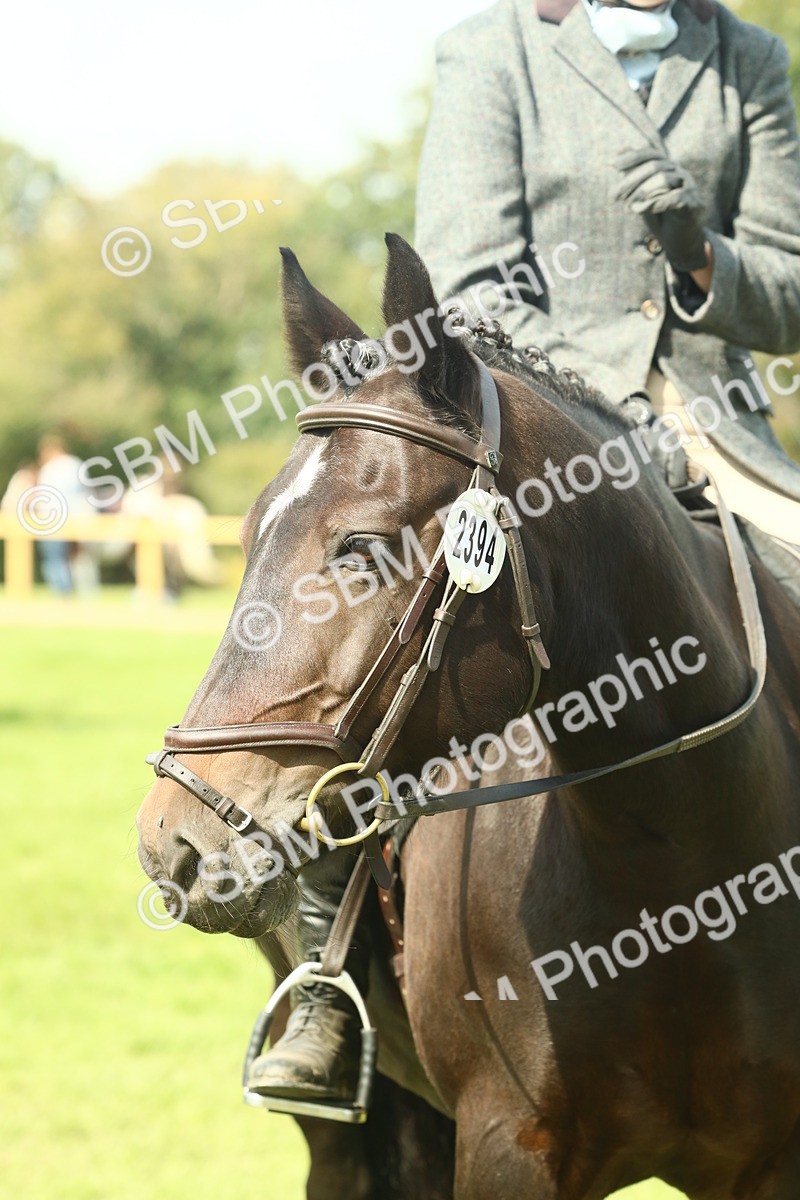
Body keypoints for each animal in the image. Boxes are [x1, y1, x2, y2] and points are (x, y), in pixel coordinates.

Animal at [137, 233, 800, 1199]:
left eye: (362, 547)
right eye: (253, 534)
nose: (173, 841)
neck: (679, 861)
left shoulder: (766, 1164)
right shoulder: (505, 1146)